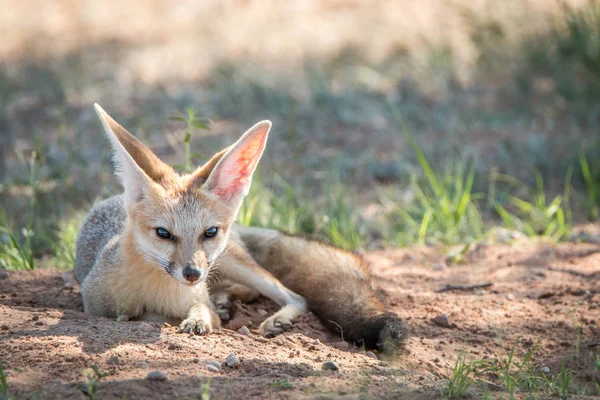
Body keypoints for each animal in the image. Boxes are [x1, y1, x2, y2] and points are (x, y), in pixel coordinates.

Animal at [74, 104, 404, 352]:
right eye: (163, 234)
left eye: (209, 232)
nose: (192, 274)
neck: (161, 293)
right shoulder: (94, 307)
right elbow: (142, 315)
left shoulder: (198, 293)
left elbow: (200, 310)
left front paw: (198, 319)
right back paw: (226, 301)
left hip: (235, 263)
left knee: (294, 296)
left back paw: (270, 317)